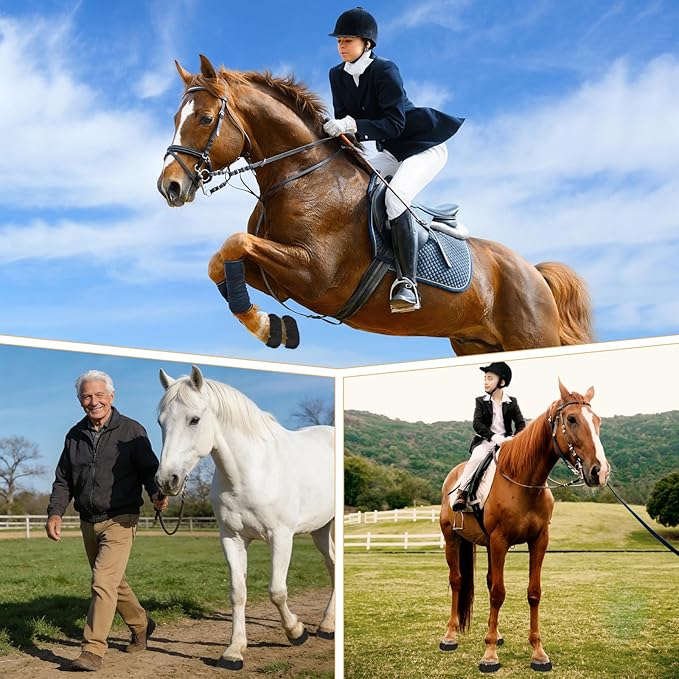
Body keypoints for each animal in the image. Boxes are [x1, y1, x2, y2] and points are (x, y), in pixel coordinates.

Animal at [155, 366, 335, 670]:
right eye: (160, 423)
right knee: (333, 565)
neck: (250, 472)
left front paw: (296, 632)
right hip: (320, 529)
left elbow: (277, 590)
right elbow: (238, 592)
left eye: (194, 419)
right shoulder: (232, 538)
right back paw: (327, 625)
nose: (167, 480)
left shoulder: (281, 537)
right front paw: (234, 651)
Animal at [157, 55, 592, 355]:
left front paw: (267, 327)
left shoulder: (314, 273)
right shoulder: (278, 278)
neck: (301, 175)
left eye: (206, 118)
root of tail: (535, 273)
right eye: (176, 118)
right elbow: (221, 260)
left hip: (531, 339)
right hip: (475, 342)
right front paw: (272, 327)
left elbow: (234, 243)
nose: (169, 187)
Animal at [439, 380, 609, 673]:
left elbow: (533, 593)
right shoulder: (499, 542)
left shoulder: (538, 541)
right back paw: (450, 636)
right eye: (572, 419)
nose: (600, 471)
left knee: (486, 581)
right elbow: (498, 594)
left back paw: (496, 634)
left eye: (597, 420)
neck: (524, 482)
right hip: (452, 539)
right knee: (457, 581)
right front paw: (489, 655)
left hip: (484, 544)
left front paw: (538, 652)